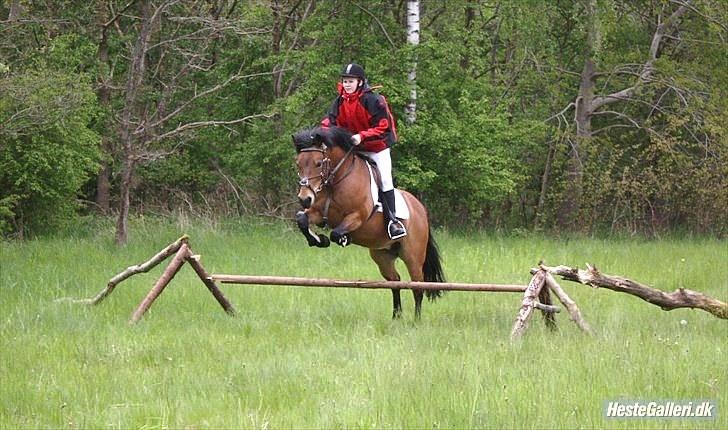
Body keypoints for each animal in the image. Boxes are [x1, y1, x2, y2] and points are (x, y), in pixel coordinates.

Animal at [292, 126, 444, 318]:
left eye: (318, 163)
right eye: (298, 163)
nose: (304, 198)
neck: (336, 181)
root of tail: (421, 209)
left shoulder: (358, 216)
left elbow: (336, 232)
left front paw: (342, 239)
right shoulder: (319, 213)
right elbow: (302, 219)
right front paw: (318, 240)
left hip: (413, 256)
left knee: (417, 287)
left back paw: (416, 320)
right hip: (382, 255)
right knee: (395, 282)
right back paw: (396, 317)